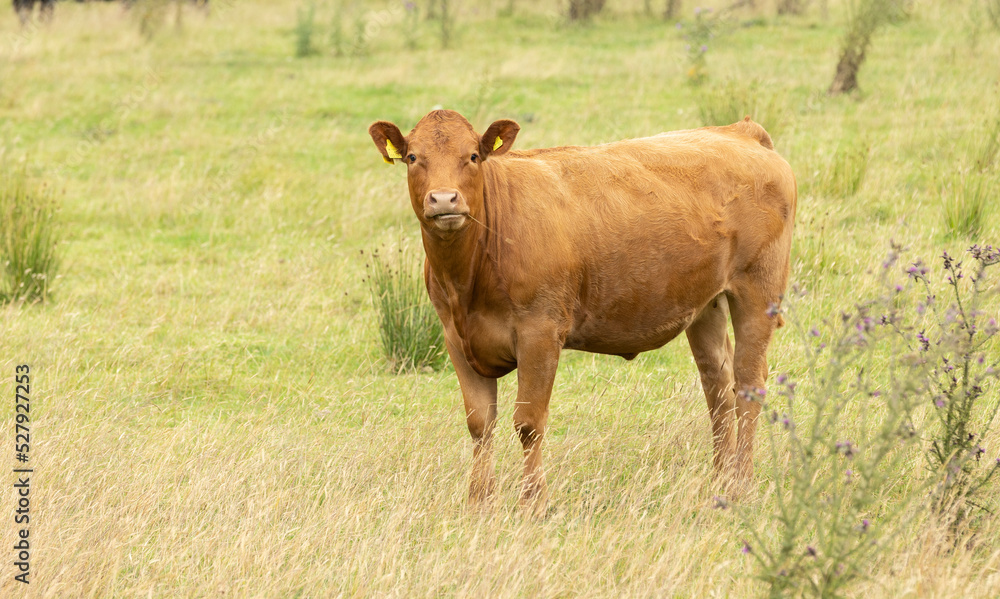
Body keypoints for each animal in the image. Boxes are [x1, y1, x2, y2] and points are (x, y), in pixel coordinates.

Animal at [368, 110, 796, 512]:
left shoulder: (540, 332)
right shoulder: (456, 340)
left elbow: (528, 423)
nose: (444, 200)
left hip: (757, 293)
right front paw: (478, 504)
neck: (470, 278)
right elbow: (480, 425)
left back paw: (742, 484)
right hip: (706, 305)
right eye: (412, 157)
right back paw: (720, 482)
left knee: (749, 384)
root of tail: (739, 131)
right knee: (718, 389)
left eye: (473, 156)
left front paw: (532, 504)